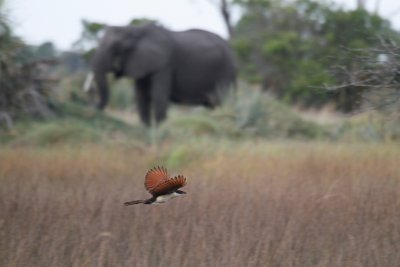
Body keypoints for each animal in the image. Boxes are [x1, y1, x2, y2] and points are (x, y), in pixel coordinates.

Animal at [90, 22, 236, 125]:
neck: (135, 30)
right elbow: (141, 97)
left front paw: (160, 131)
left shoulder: (164, 63)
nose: (91, 104)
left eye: (117, 46)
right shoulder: (140, 61)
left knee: (219, 101)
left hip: (225, 70)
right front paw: (146, 130)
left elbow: (158, 96)